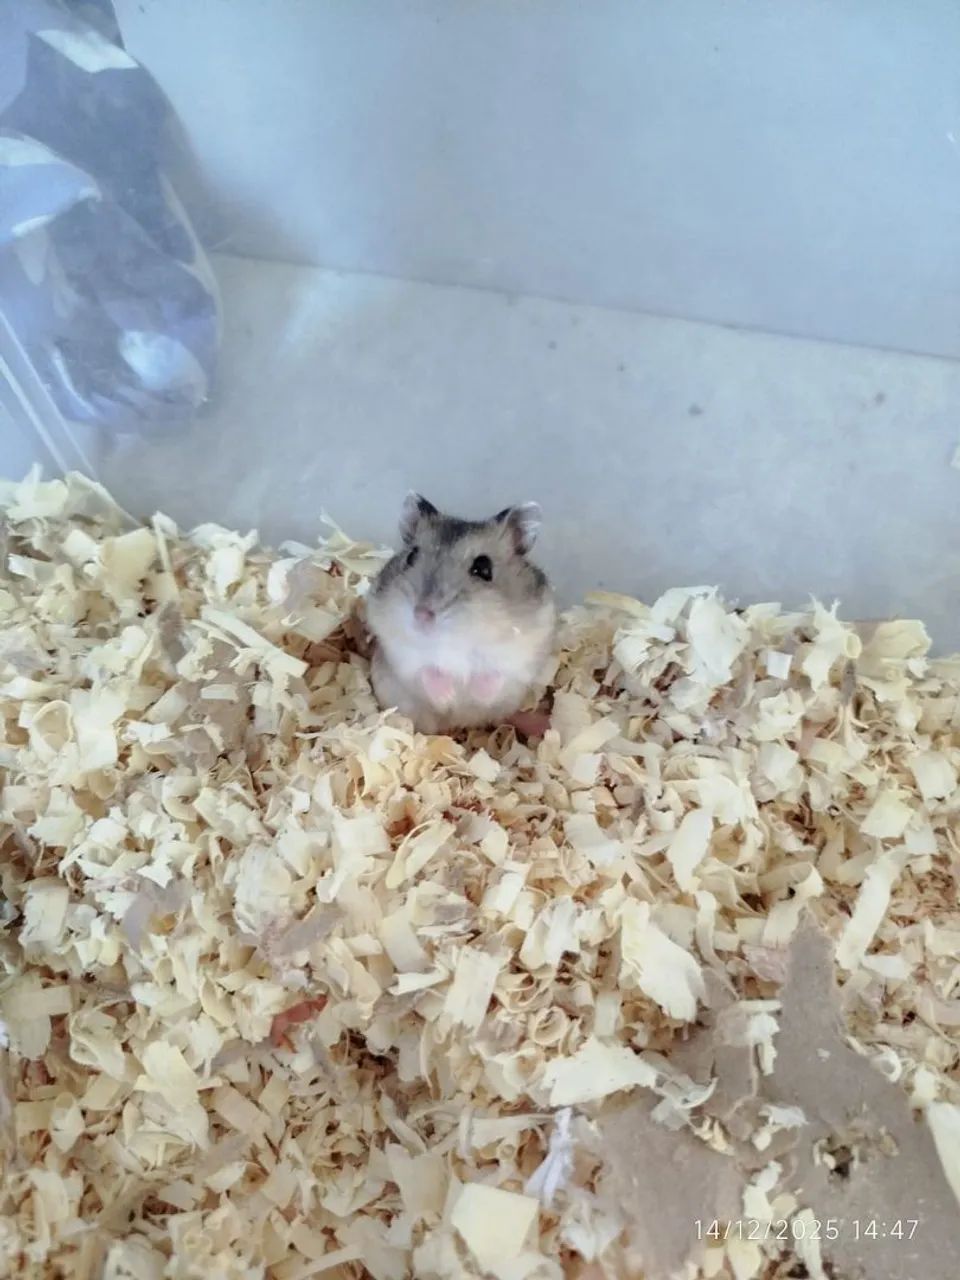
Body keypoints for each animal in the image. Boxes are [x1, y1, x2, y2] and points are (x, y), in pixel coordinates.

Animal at [366, 493, 556, 733]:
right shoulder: (400, 652)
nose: (421, 615)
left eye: (483, 568)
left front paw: (473, 695)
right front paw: (448, 698)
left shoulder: (522, 649)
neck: (457, 640)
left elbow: (495, 673)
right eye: (411, 557)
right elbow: (425, 669)